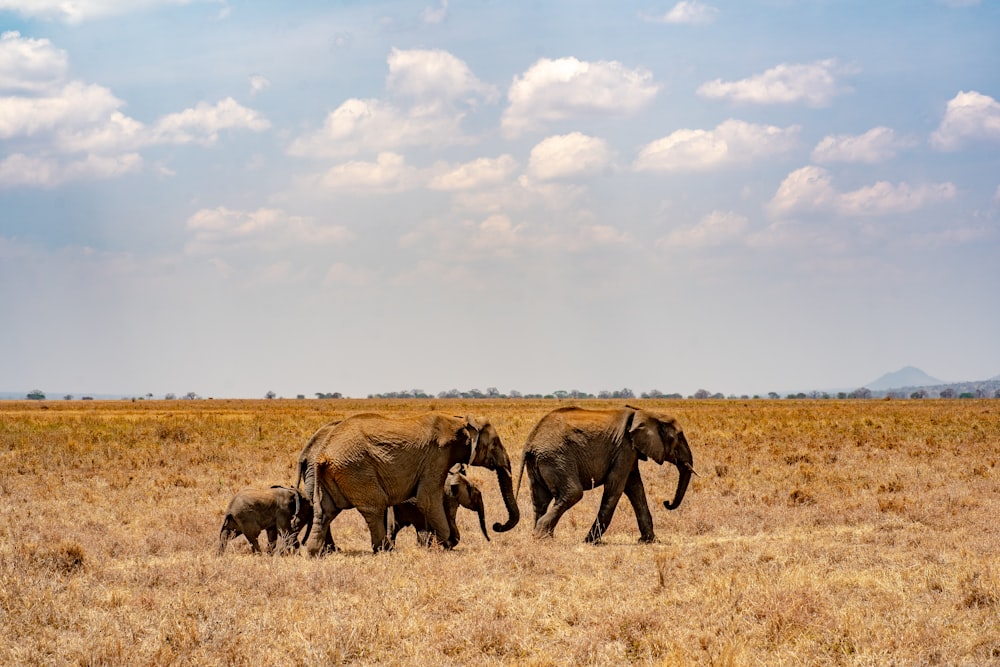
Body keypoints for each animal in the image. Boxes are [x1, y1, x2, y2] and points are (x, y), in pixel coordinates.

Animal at [300, 414, 520, 556]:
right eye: (495, 444)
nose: (496, 526)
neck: (459, 422)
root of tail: (323, 454)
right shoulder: (437, 456)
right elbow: (427, 500)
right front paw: (444, 544)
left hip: (332, 474)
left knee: (325, 510)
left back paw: (315, 553)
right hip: (356, 469)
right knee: (375, 507)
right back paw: (385, 550)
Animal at [516, 408, 696, 544]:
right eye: (678, 437)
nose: (667, 503)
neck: (646, 413)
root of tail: (530, 441)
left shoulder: (629, 451)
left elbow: (636, 489)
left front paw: (649, 541)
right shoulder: (624, 448)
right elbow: (615, 487)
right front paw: (590, 542)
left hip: (541, 461)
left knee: (540, 499)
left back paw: (542, 537)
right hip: (557, 458)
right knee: (573, 493)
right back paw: (541, 537)